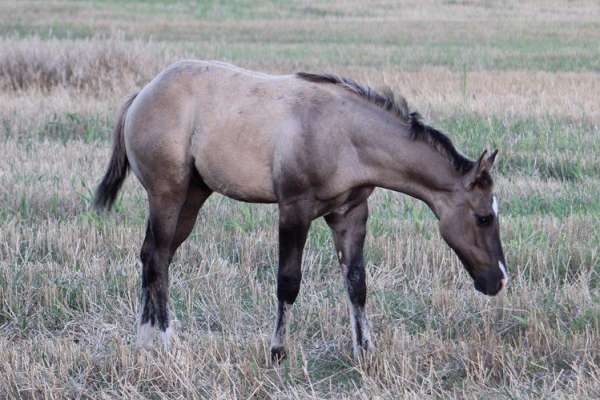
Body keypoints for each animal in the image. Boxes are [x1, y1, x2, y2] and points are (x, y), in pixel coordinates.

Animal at [94, 60, 506, 362]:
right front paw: (277, 351)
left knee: (154, 255)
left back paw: (146, 339)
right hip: (167, 194)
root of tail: (143, 93)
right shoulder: (294, 209)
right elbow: (288, 281)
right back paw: (161, 339)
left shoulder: (351, 213)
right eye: (484, 217)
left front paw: (364, 350)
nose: (498, 281)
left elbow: (357, 283)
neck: (344, 135)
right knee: (158, 256)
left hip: (193, 196)